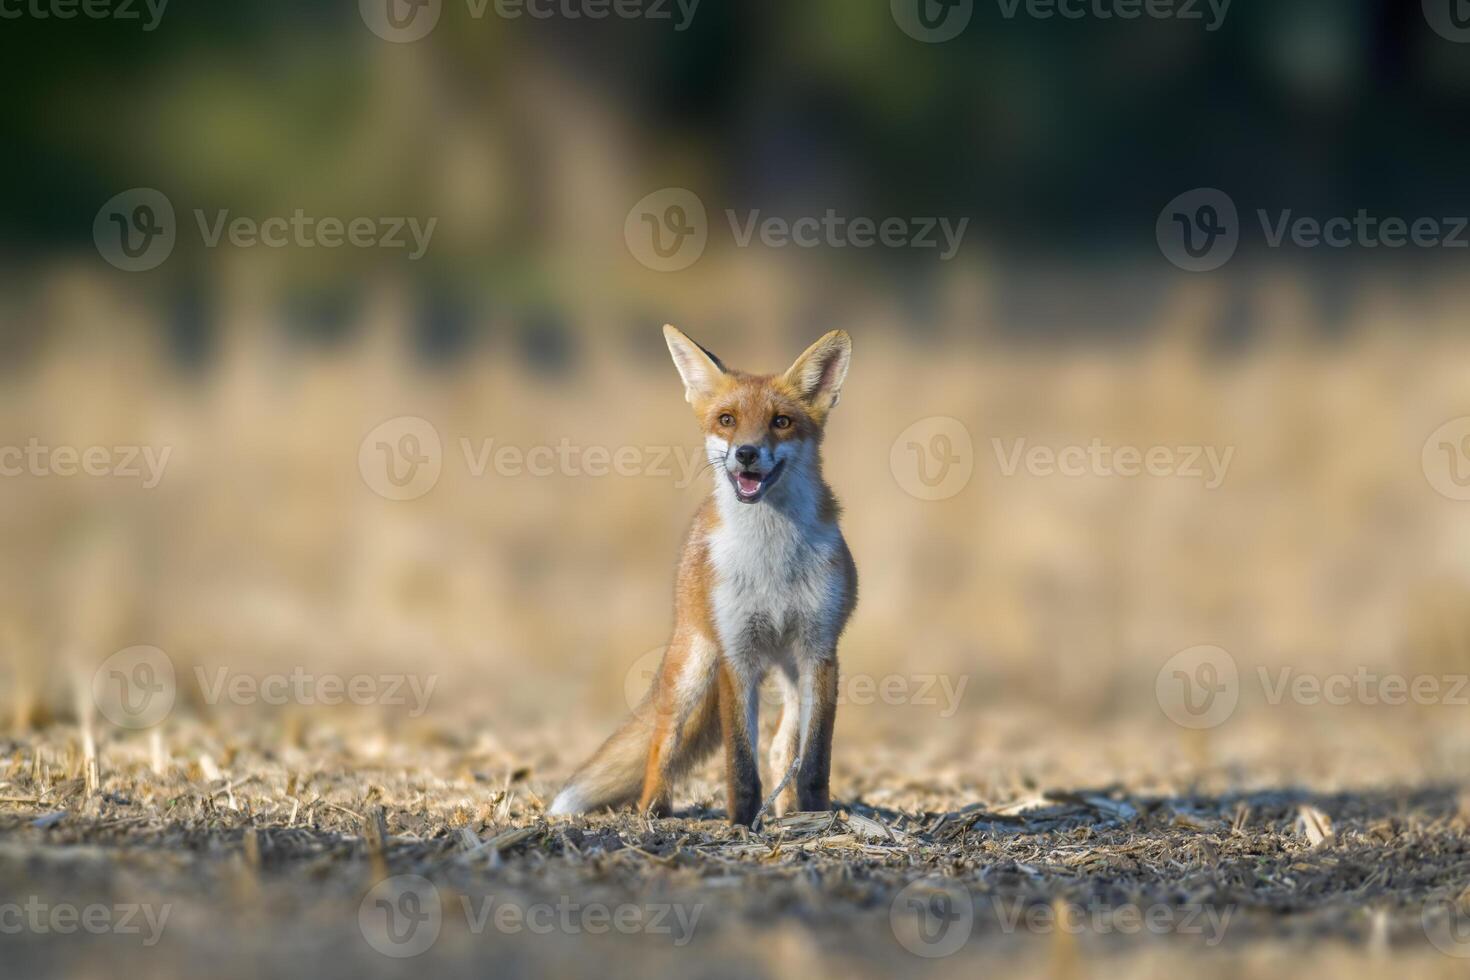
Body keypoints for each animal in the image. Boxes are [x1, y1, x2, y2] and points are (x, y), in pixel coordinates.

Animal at [552, 326, 858, 822]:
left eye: (781, 422)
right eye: (727, 419)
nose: (746, 454)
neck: (771, 559)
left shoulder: (819, 652)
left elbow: (813, 760)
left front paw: (817, 816)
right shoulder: (737, 653)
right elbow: (740, 762)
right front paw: (741, 824)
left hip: (788, 671)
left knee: (781, 749)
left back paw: (787, 812)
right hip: (694, 666)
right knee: (663, 740)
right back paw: (653, 811)